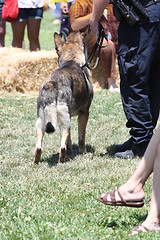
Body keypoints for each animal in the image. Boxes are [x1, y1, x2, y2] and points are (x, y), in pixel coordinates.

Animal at [34, 31, 93, 163]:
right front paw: (83, 152)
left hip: (42, 120)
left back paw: (37, 160)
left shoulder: (69, 115)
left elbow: (69, 139)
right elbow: (81, 137)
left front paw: (70, 149)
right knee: (62, 146)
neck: (72, 60)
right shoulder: (84, 113)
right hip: (63, 119)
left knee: (39, 145)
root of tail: (51, 84)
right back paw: (63, 159)